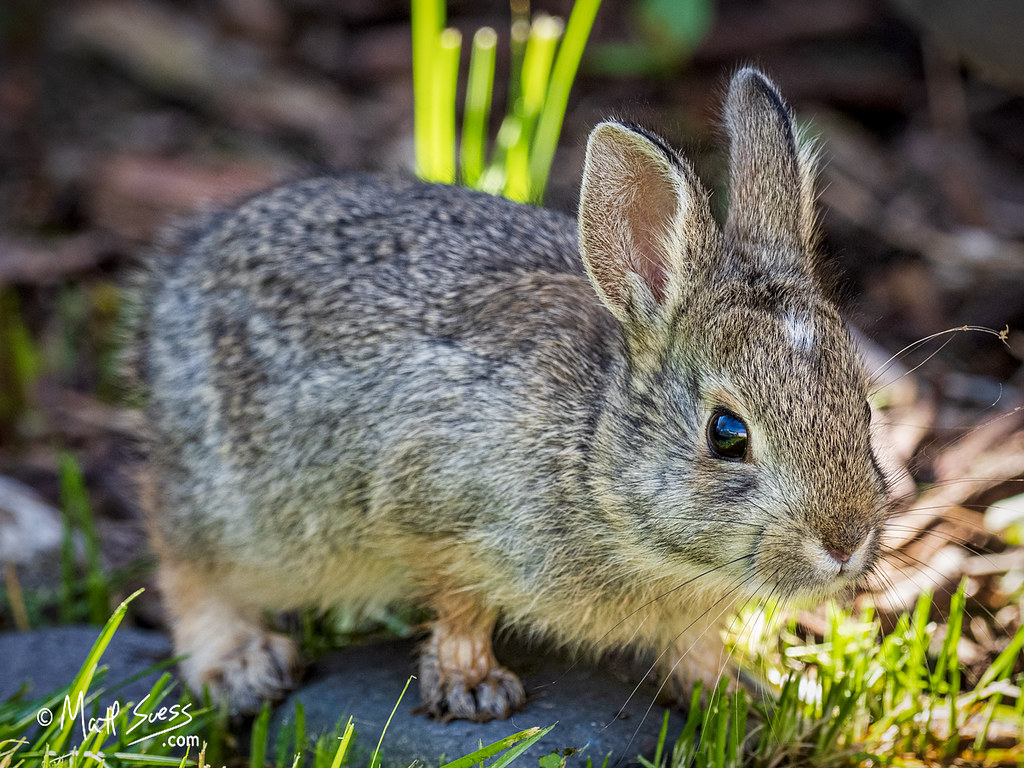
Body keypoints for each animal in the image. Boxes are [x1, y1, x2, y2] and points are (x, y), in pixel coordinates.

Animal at [133, 67, 890, 722]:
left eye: (862, 407)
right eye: (727, 435)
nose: (846, 542)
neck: (594, 465)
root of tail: (180, 281)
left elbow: (693, 645)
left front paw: (733, 694)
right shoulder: (433, 502)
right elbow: (460, 601)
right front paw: (472, 685)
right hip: (243, 505)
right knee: (183, 557)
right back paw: (239, 661)